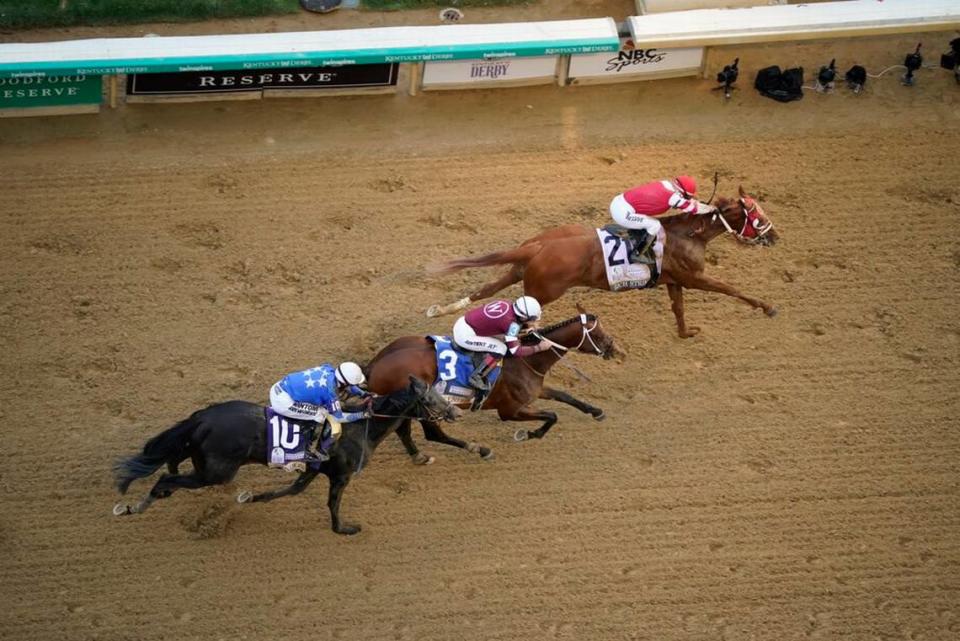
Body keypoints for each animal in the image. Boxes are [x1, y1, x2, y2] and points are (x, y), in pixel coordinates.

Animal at [112, 376, 458, 536]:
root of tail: (202, 418)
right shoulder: (340, 475)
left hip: (202, 462)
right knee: (166, 477)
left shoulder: (314, 469)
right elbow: (332, 504)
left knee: (171, 465)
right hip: (216, 472)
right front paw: (344, 529)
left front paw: (249, 498)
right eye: (431, 398)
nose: (455, 411)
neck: (362, 427)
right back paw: (135, 506)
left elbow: (292, 490)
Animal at [364, 308, 620, 462]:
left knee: (404, 430)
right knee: (433, 433)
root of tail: (373, 366)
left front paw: (596, 411)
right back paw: (480, 449)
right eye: (597, 334)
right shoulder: (509, 411)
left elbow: (565, 397)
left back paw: (419, 456)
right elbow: (552, 415)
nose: (613, 349)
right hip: (425, 405)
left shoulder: (535, 391)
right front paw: (530, 434)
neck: (526, 360)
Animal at [428, 188, 780, 338]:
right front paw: (767, 306)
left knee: (485, 290)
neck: (689, 234)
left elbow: (678, 309)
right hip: (541, 290)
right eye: (756, 214)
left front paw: (685, 333)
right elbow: (731, 289)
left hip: (521, 273)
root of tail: (539, 244)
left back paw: (440, 310)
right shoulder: (694, 278)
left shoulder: (675, 281)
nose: (775, 236)